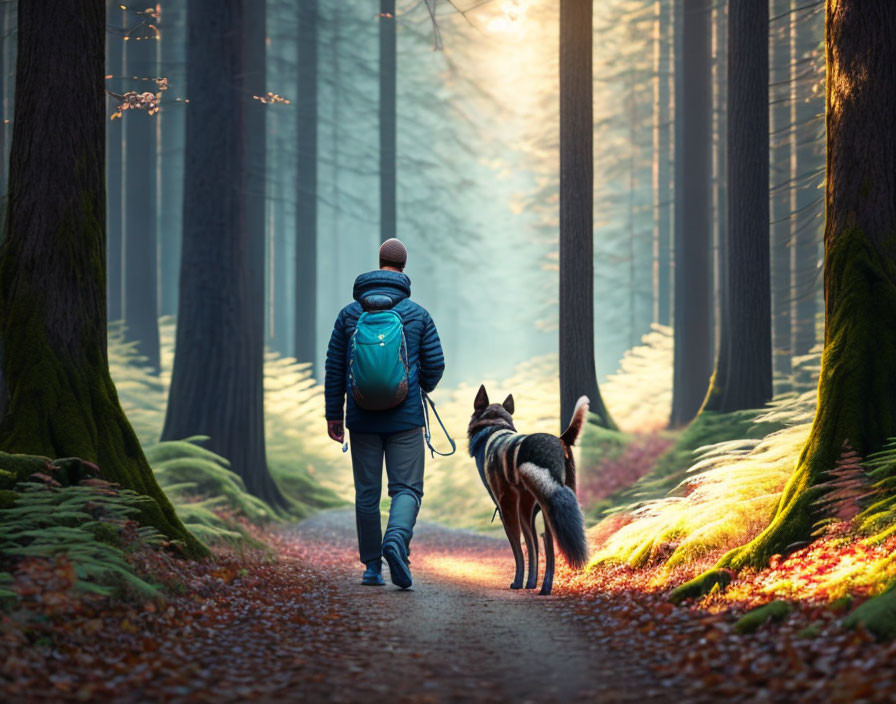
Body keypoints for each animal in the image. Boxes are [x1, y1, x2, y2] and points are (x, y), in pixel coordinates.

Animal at [468, 384, 588, 592]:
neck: (494, 425)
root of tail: (560, 440)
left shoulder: (506, 507)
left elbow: (518, 547)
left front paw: (518, 582)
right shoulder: (527, 510)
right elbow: (533, 545)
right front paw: (530, 582)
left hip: (546, 500)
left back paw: (544, 587)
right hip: (558, 499)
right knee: (550, 539)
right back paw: (545, 587)